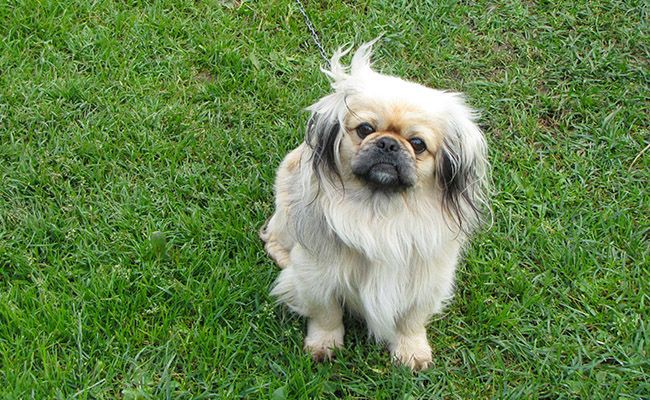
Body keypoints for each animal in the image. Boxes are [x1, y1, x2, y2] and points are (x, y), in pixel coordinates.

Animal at [258, 41, 486, 372]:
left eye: (418, 144)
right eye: (365, 129)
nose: (388, 144)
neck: (380, 210)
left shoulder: (427, 280)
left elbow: (411, 321)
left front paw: (412, 351)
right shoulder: (318, 275)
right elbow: (326, 314)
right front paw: (324, 345)